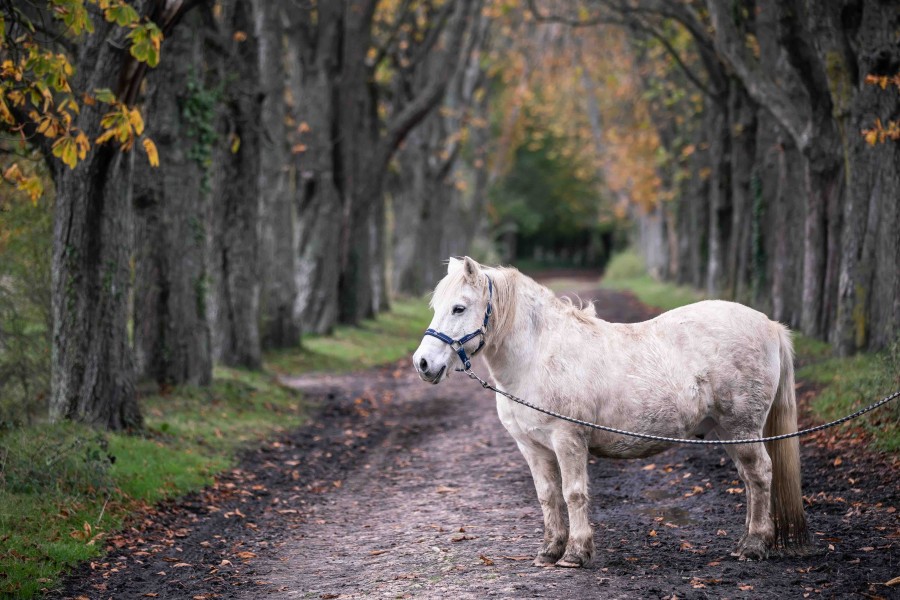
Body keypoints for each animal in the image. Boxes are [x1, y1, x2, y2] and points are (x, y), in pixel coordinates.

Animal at [414, 256, 808, 568]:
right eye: (436, 307)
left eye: (459, 308)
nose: (423, 364)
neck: (538, 355)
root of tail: (770, 325)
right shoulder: (533, 447)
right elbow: (547, 496)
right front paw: (549, 552)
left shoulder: (568, 439)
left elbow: (573, 493)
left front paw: (575, 553)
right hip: (725, 432)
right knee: (749, 478)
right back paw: (745, 543)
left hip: (742, 427)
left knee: (760, 475)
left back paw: (755, 546)